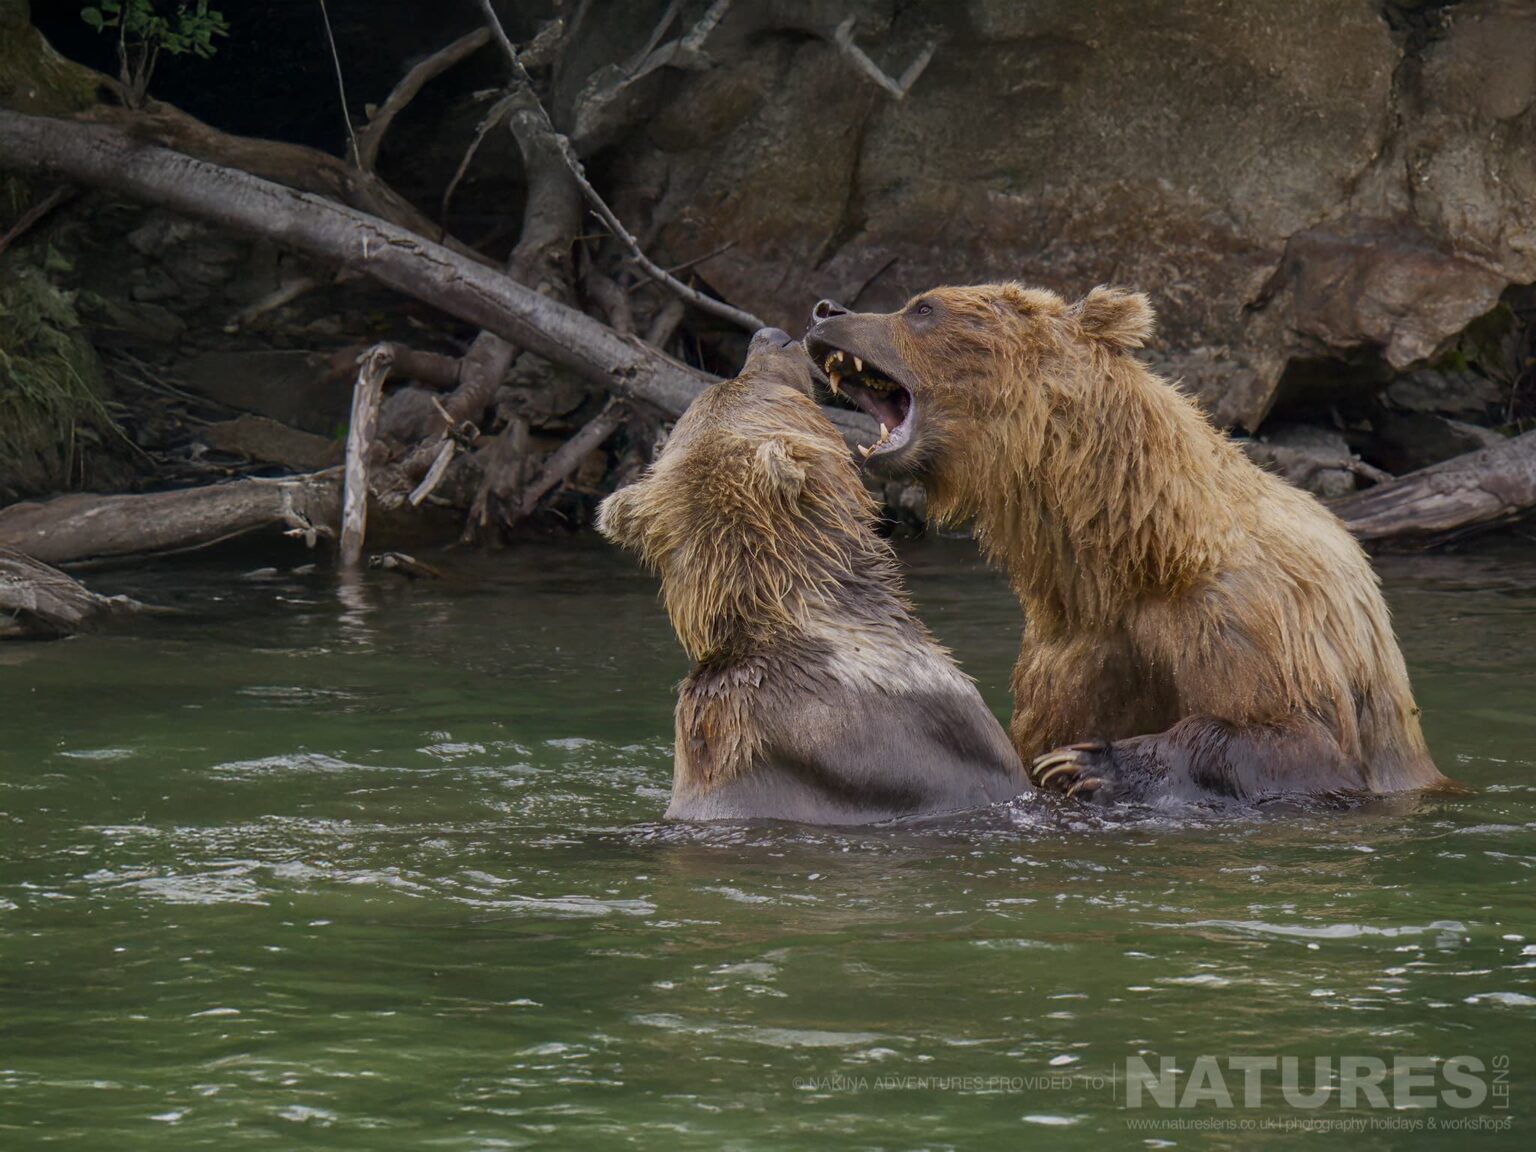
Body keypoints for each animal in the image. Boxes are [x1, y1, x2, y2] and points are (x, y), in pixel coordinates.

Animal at [804, 285, 1447, 806]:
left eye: (922, 307)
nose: (826, 311)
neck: (1138, 551)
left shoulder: (1253, 619)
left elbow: (1297, 738)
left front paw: (1092, 763)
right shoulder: (1070, 654)